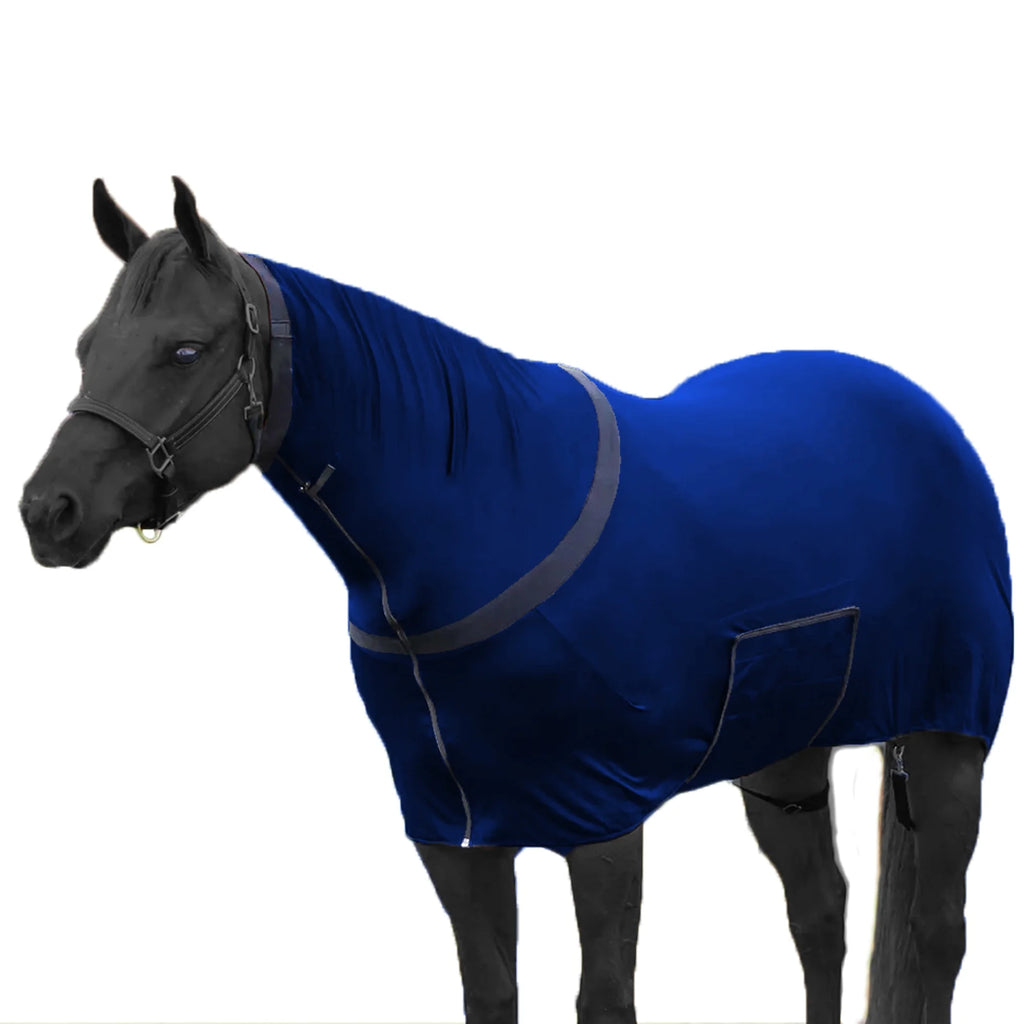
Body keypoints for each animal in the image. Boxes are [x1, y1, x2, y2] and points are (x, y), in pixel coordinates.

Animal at [20, 178, 1013, 1024]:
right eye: (86, 347)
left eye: (184, 349)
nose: (47, 512)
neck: (482, 525)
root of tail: (924, 414)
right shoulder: (455, 831)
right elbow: (491, 992)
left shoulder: (599, 816)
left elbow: (603, 999)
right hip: (785, 754)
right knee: (820, 912)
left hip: (945, 740)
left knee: (936, 933)